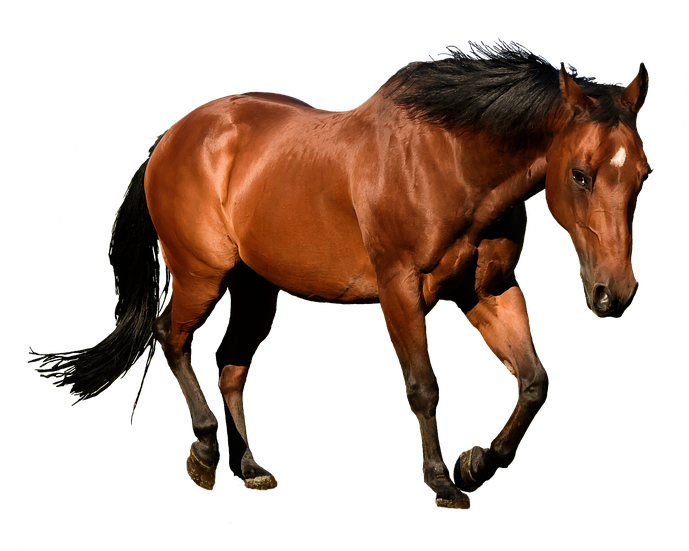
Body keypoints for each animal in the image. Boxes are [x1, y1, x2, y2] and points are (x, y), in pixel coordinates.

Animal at [34, 39, 651, 511]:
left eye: (642, 172)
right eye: (580, 173)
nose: (613, 294)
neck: (449, 160)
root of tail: (171, 138)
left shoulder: (487, 292)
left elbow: (533, 382)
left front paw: (475, 464)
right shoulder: (399, 289)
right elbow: (423, 385)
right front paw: (442, 481)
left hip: (257, 289)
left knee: (231, 368)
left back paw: (251, 466)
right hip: (198, 275)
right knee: (170, 339)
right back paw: (205, 455)